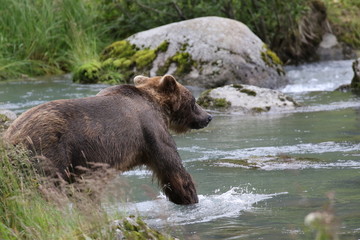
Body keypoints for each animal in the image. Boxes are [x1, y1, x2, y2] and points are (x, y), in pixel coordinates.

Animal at [3, 74, 211, 204]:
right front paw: (191, 198)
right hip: (49, 148)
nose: (208, 116)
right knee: (48, 183)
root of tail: (12, 134)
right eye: (194, 102)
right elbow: (172, 169)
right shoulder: (151, 131)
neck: (159, 107)